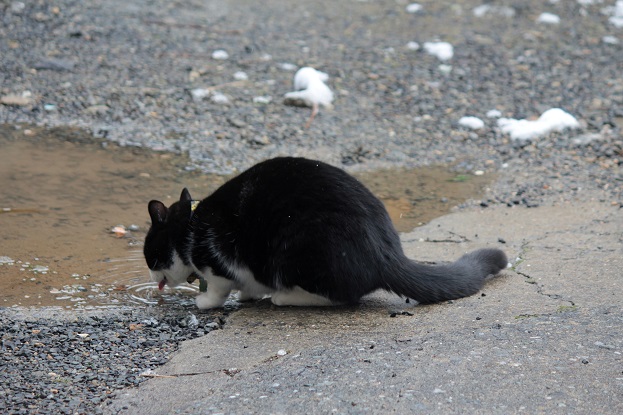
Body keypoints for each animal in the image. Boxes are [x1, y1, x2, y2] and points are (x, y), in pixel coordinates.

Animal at [144, 158, 510, 310]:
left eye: (150, 255)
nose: (153, 276)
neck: (191, 229)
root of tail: (389, 253)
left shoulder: (218, 259)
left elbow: (219, 288)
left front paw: (205, 301)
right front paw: (248, 295)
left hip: (297, 250)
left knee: (342, 296)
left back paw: (285, 297)